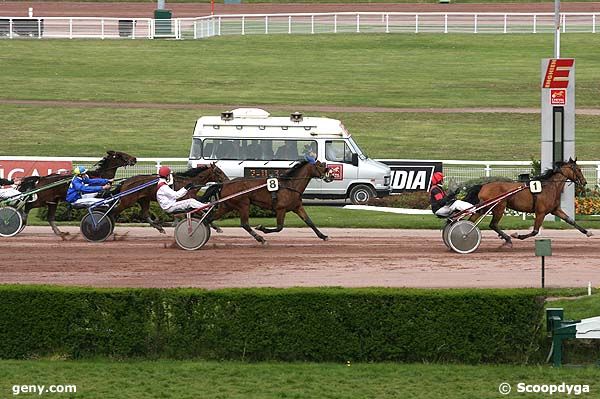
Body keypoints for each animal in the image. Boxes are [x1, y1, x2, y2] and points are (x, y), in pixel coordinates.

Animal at [202, 159, 332, 244]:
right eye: (320, 166)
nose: (330, 176)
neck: (290, 185)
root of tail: (224, 184)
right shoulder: (281, 209)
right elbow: (279, 227)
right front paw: (262, 228)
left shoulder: (297, 207)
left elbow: (309, 222)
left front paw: (323, 236)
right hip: (243, 204)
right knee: (245, 224)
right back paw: (260, 239)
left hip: (227, 206)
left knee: (209, 219)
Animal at [464, 159, 592, 247]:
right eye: (578, 169)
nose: (584, 182)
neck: (550, 187)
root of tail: (483, 186)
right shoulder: (540, 212)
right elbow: (535, 231)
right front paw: (518, 235)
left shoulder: (555, 210)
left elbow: (570, 221)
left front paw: (587, 232)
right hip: (499, 207)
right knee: (493, 224)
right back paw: (508, 239)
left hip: (485, 207)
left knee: (472, 220)